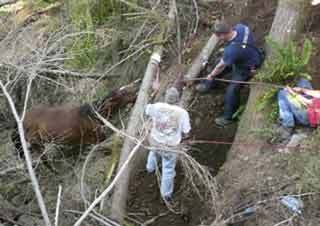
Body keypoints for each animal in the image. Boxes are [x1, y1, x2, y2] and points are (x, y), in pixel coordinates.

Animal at [10, 84, 139, 160]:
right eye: (123, 94)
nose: (136, 93)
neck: (92, 114)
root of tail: (19, 121)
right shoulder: (97, 137)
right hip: (36, 142)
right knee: (44, 160)